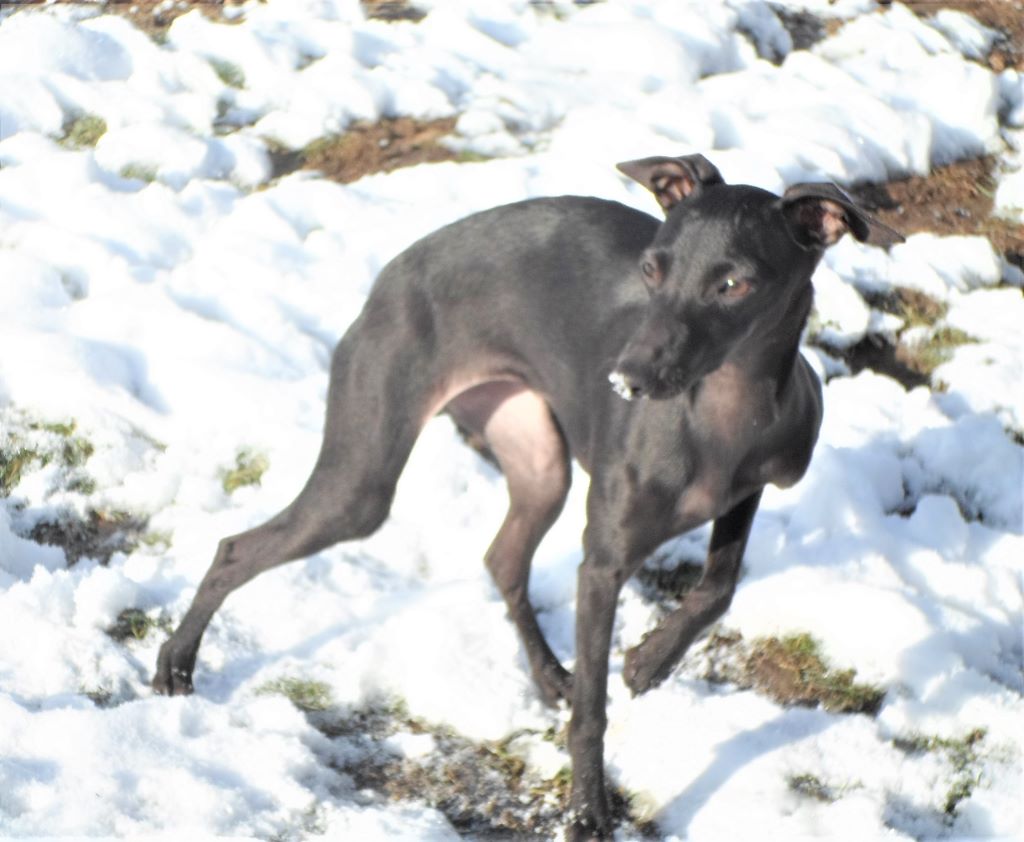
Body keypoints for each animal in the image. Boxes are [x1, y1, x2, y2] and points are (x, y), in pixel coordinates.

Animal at [155, 156, 901, 835]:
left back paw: (548, 676)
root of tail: (391, 274)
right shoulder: (602, 564)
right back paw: (175, 666)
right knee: (235, 548)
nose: (625, 381)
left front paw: (648, 661)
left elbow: (718, 587)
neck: (722, 411)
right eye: (652, 268)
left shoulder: (749, 490)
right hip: (362, 480)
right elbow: (595, 712)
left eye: (732, 283)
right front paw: (588, 811)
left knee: (503, 558)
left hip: (539, 464)